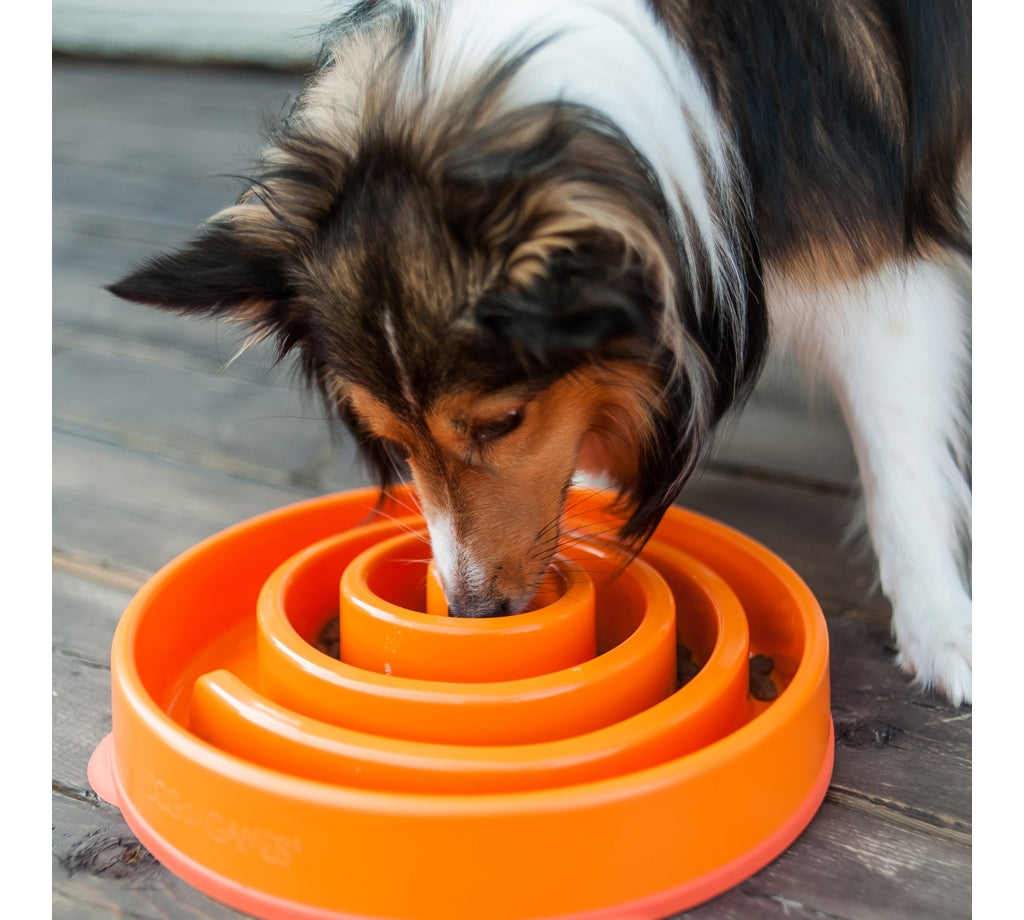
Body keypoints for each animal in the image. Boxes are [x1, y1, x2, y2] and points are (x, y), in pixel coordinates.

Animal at [108, 0, 970, 704]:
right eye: (393, 443)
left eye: (503, 423)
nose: (472, 612)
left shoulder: (875, 279)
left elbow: (901, 470)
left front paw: (940, 626)